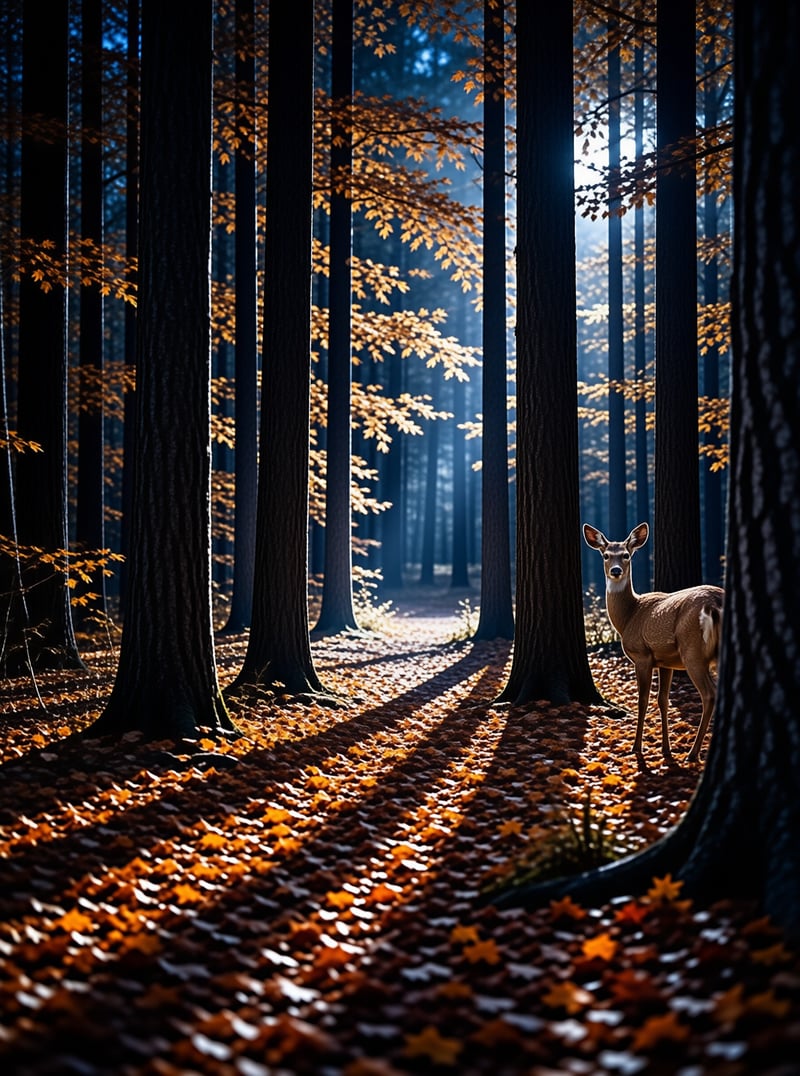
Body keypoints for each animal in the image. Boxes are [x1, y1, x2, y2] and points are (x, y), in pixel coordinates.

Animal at [583, 522, 724, 769]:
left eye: (626, 555)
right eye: (606, 555)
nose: (616, 571)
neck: (629, 616)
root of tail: (714, 604)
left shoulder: (642, 655)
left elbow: (642, 700)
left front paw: (636, 748)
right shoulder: (665, 661)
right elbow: (662, 700)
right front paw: (666, 750)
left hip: (692, 650)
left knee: (709, 694)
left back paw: (693, 753)